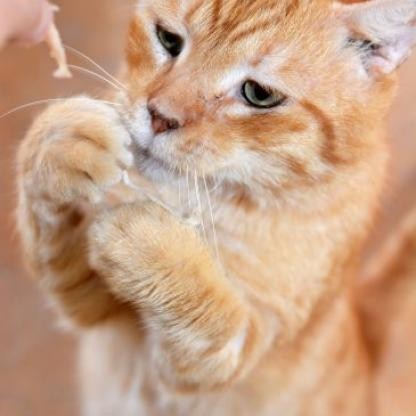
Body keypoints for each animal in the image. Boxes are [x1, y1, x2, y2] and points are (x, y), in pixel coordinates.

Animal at [14, 0, 414, 416]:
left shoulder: (223, 356)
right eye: (168, 39)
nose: (160, 117)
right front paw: (66, 136)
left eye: (258, 94)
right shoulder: (88, 302)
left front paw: (149, 240)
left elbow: (205, 303)